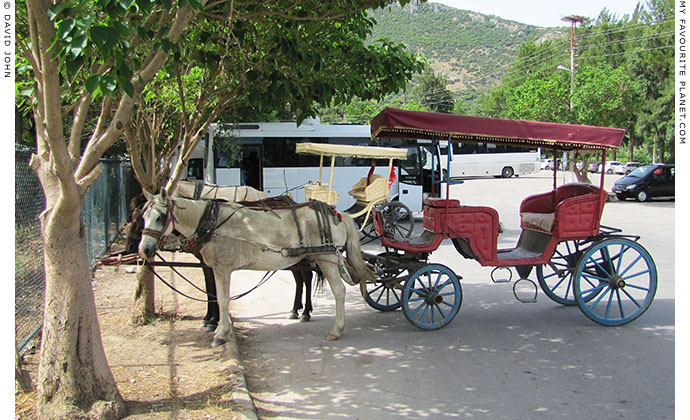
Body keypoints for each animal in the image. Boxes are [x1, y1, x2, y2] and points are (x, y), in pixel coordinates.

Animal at [138, 190, 374, 344]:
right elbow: (216, 296)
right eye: (142, 216)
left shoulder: (222, 268)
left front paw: (220, 333)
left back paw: (336, 329)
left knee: (339, 291)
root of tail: (337, 214)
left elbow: (222, 299)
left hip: (327, 259)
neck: (212, 223)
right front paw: (215, 326)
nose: (144, 250)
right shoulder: (214, 267)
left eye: (160, 217)